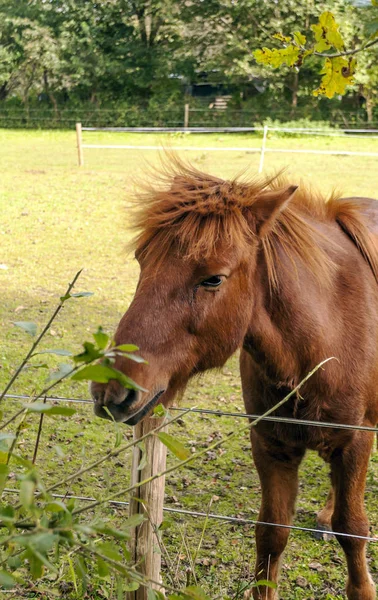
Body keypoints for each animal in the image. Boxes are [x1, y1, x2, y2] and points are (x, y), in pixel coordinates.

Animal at [91, 159, 378, 600]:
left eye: (213, 279)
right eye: (142, 259)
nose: (111, 390)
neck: (326, 337)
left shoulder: (356, 441)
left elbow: (353, 531)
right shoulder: (270, 445)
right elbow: (271, 534)